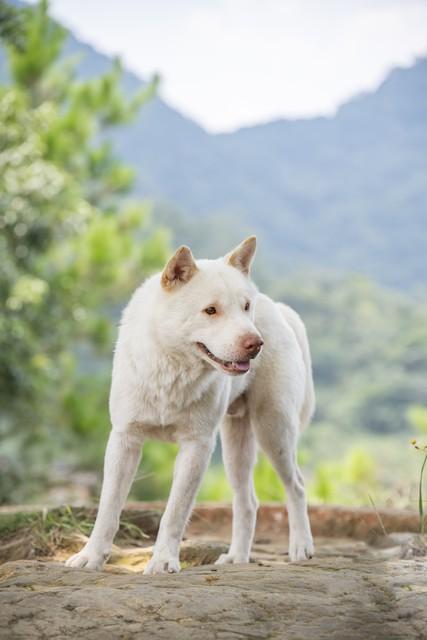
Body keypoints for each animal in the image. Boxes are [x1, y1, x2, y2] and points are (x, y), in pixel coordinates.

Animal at [66, 236, 314, 576]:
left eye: (245, 307)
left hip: (272, 431)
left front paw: (163, 561)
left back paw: (301, 547)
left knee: (297, 486)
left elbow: (174, 512)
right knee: (247, 500)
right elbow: (108, 507)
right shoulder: (124, 439)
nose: (255, 344)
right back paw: (236, 557)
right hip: (236, 445)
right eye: (210, 310)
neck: (172, 368)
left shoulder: (197, 445)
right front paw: (90, 557)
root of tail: (277, 308)